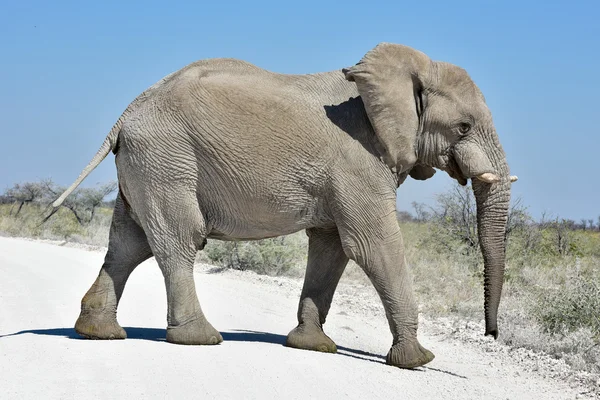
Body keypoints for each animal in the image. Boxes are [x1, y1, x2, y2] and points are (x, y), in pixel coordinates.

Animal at [54, 43, 516, 368]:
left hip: (146, 164)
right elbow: (372, 246)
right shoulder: (358, 160)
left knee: (128, 243)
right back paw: (201, 338)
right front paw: (417, 361)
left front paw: (313, 346)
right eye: (463, 127)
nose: (491, 336)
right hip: (168, 159)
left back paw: (99, 332)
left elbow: (332, 247)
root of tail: (126, 114)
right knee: (179, 241)